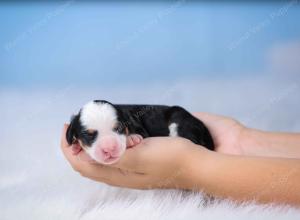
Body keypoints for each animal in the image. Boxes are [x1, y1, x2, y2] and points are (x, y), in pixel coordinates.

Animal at [67, 100, 214, 164]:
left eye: (118, 128)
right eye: (89, 135)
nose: (109, 148)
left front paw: (130, 138)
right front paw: (75, 146)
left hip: (179, 121)